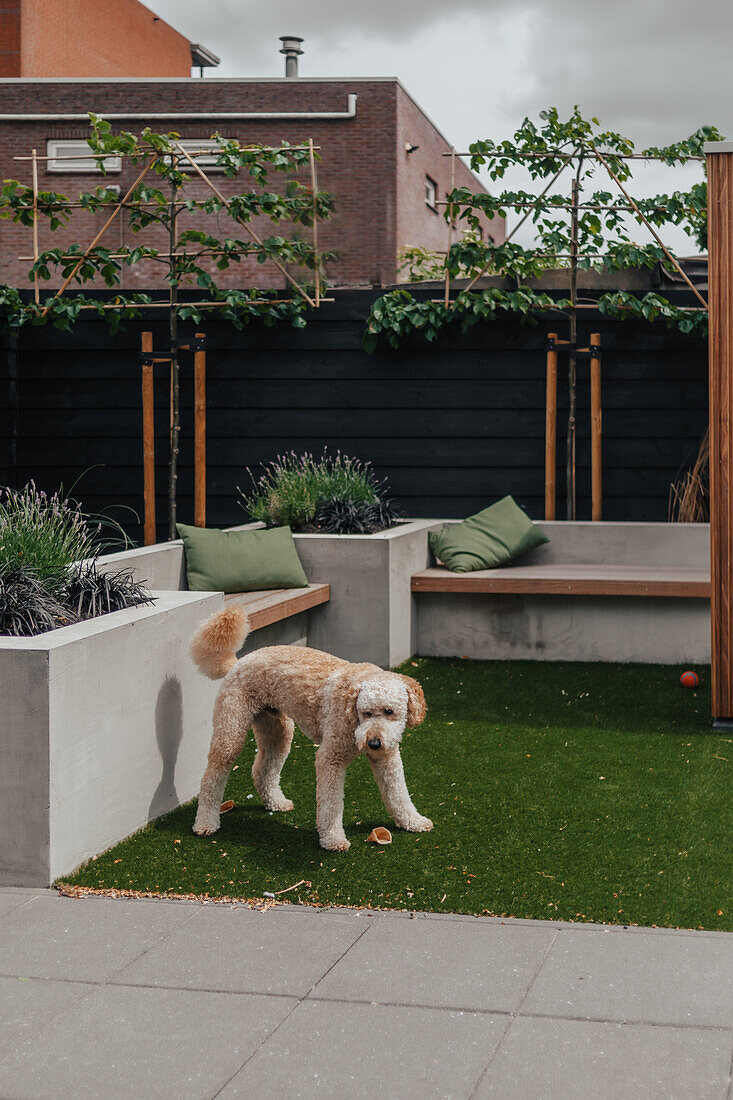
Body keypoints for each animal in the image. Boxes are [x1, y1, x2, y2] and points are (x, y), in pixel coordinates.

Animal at [187, 602, 433, 849]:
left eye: (390, 712)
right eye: (366, 713)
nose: (373, 743)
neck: (352, 715)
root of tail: (237, 664)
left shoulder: (387, 757)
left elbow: (398, 793)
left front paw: (413, 821)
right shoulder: (330, 758)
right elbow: (331, 804)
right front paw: (333, 839)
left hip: (278, 730)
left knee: (262, 770)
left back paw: (276, 802)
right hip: (231, 729)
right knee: (212, 776)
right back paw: (205, 823)